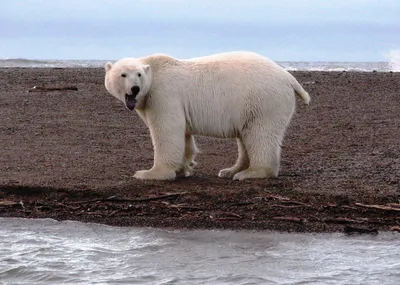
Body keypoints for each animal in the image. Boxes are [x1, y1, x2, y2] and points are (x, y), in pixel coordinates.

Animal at [103, 50, 310, 180]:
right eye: (123, 74)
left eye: (138, 74)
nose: (135, 88)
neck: (154, 72)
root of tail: (288, 77)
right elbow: (184, 136)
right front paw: (184, 167)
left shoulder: (163, 94)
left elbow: (167, 131)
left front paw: (149, 173)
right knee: (246, 135)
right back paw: (230, 170)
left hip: (263, 100)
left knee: (260, 134)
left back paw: (251, 173)